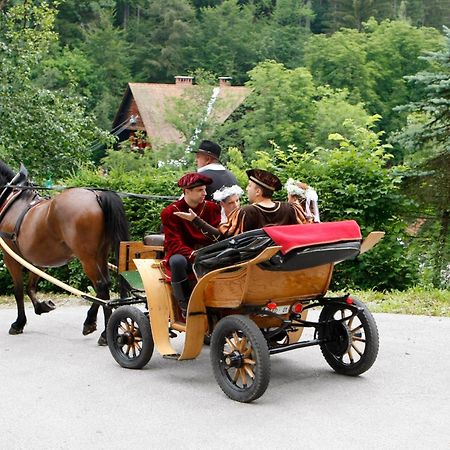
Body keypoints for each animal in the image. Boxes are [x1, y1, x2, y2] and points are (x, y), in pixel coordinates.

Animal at [0, 160, 129, 346]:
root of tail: (96, 195)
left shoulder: (11, 257)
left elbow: (18, 290)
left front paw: (19, 323)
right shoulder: (37, 259)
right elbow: (31, 286)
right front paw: (42, 306)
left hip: (87, 258)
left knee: (102, 287)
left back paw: (105, 333)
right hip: (100, 254)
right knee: (105, 285)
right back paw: (92, 323)